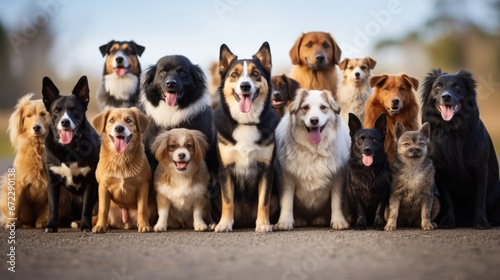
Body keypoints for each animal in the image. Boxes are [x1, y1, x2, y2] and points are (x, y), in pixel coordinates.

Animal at [0, 93, 71, 229]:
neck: (38, 147)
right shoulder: (19, 181)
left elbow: (49, 207)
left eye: (43, 114)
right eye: (28, 116)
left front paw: (43, 222)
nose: (36, 127)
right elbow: (16, 204)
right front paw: (11, 223)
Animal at [41, 75, 100, 232]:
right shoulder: (52, 181)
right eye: (56, 110)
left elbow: (87, 207)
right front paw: (51, 226)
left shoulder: (90, 181)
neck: (70, 148)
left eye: (75, 109)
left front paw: (85, 226)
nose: (65, 122)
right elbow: (52, 207)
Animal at [212, 41, 280, 233]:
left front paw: (263, 224)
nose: (245, 86)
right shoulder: (225, 169)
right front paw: (224, 224)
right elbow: (227, 201)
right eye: (234, 75)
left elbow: (263, 201)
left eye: (255, 74)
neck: (245, 122)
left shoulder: (267, 169)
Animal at [274, 89, 352, 230]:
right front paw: (285, 222)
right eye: (306, 108)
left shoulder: (338, 177)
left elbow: (336, 201)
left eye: (323, 107)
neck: (314, 150)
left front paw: (338, 221)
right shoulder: (286, 178)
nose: (314, 120)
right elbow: (287, 201)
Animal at [422, 69, 500, 229]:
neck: (452, 130)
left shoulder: (481, 169)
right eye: (437, 87)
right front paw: (448, 221)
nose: (446, 96)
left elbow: (479, 199)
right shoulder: (440, 172)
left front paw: (481, 221)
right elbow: (448, 200)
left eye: (457, 86)